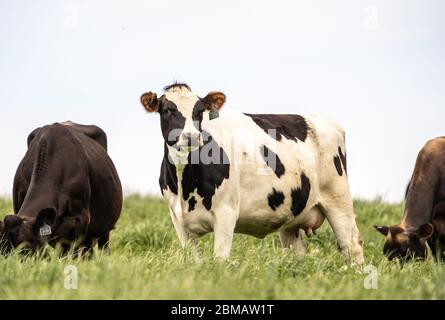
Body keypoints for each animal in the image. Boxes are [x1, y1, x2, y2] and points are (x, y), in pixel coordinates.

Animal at [140, 83, 362, 264]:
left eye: (200, 111)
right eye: (167, 110)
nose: (191, 136)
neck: (184, 184)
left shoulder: (226, 212)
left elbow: (220, 259)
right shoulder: (178, 220)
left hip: (338, 199)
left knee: (352, 245)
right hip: (292, 215)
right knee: (297, 254)